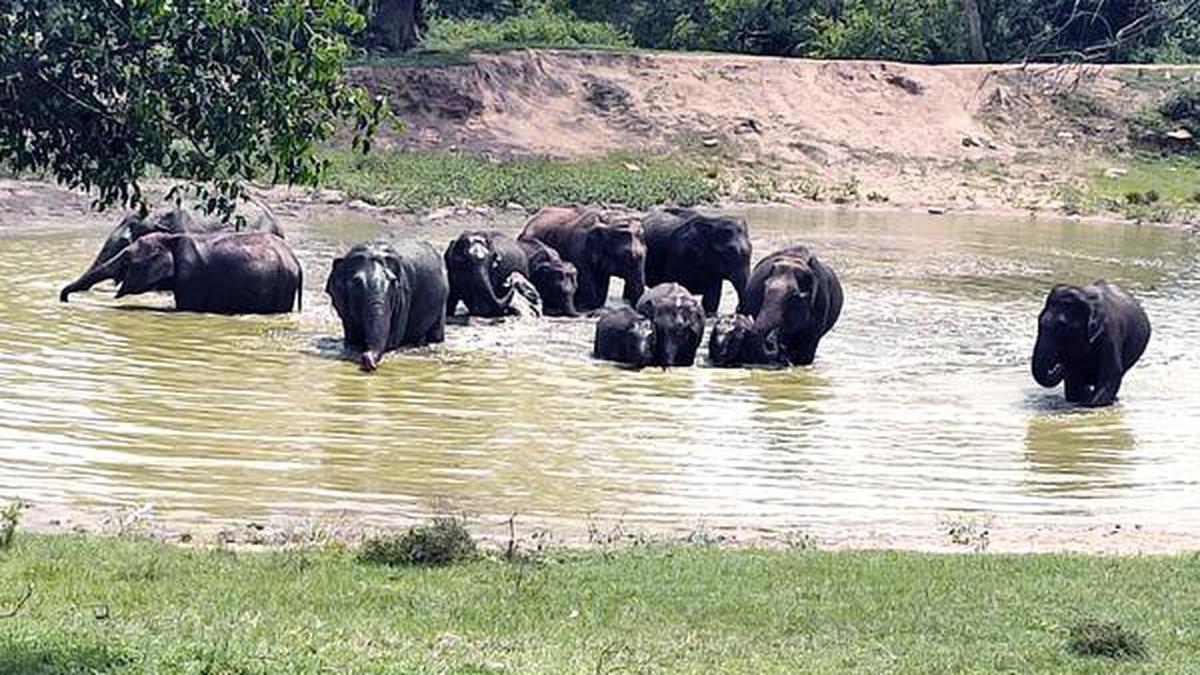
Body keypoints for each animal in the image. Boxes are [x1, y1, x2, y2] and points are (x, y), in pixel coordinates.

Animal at [60, 229, 304, 314]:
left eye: (127, 260)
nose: (63, 298)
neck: (169, 239)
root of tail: (296, 262)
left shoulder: (192, 278)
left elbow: (186, 307)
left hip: (283, 285)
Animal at [324, 239, 451, 369]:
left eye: (393, 282)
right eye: (356, 283)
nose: (366, 358)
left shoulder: (403, 296)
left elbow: (391, 341)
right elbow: (351, 336)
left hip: (443, 302)